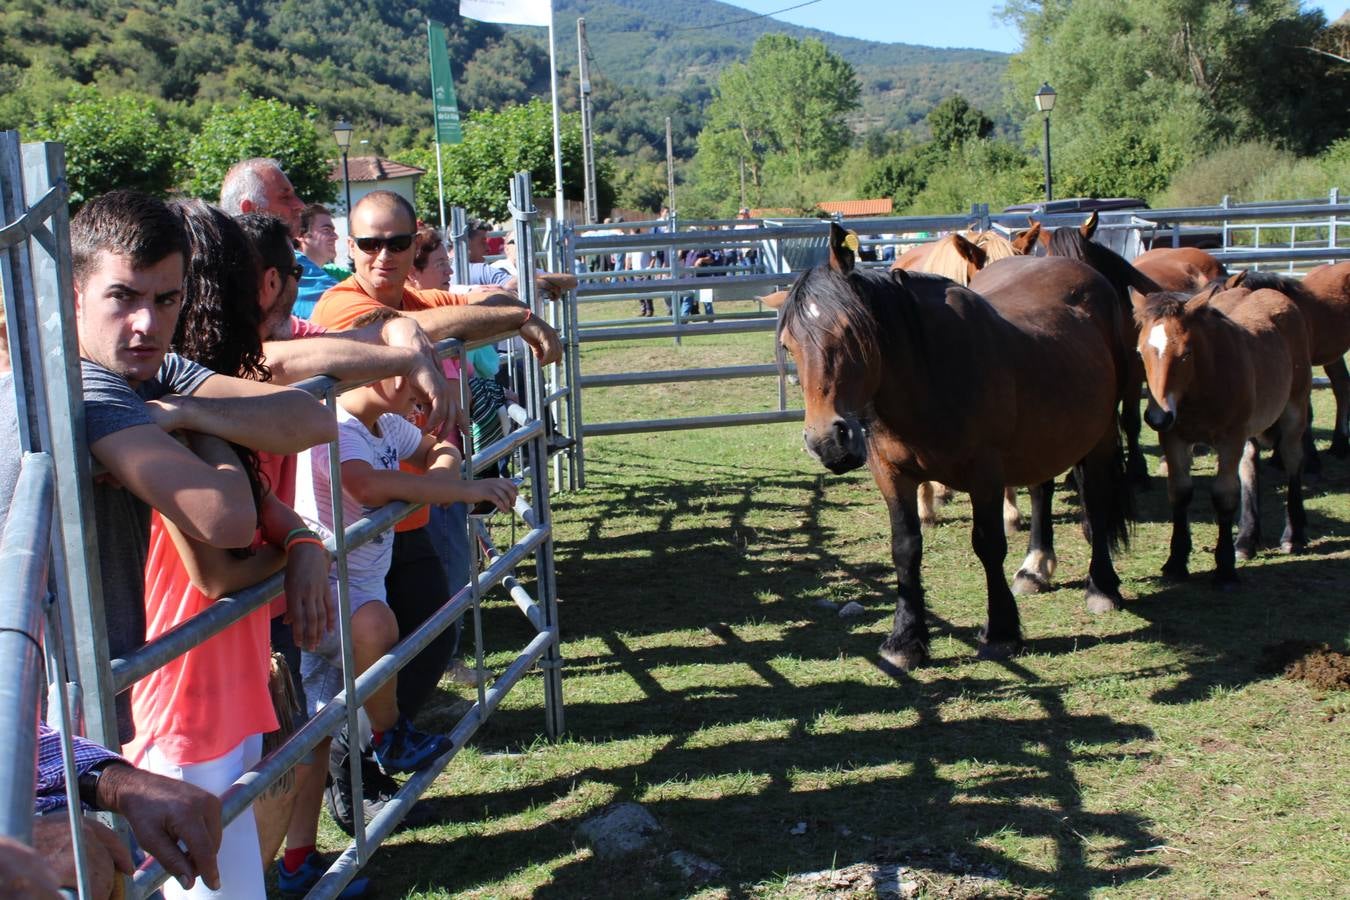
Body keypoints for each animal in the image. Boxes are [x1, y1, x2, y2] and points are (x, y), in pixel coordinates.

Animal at [777, 223, 1134, 669]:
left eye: (849, 331)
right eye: (789, 345)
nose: (827, 441)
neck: (929, 377)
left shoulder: (984, 475)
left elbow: (988, 544)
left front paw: (1001, 632)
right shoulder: (892, 475)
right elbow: (905, 549)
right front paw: (905, 640)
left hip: (1100, 434)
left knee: (1098, 501)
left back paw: (1101, 587)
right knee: (1041, 489)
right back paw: (1035, 568)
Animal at [1134, 283, 1312, 591]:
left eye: (1185, 354)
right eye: (1140, 352)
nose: (1157, 417)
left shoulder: (1229, 439)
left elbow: (1224, 495)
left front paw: (1225, 568)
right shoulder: (1174, 438)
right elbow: (1179, 492)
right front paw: (1176, 562)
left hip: (1294, 409)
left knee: (1292, 461)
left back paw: (1293, 535)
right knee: (1250, 466)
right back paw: (1247, 539)